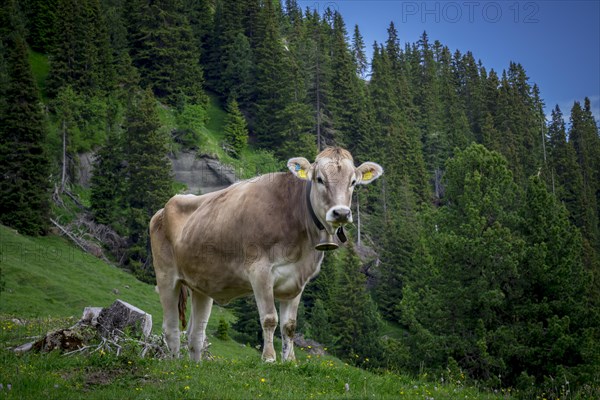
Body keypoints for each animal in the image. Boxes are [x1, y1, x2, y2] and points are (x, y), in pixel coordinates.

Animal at [150, 147, 384, 362]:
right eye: (319, 179)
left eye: (353, 182)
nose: (341, 213)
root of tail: (162, 209)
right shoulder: (259, 271)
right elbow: (270, 319)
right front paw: (269, 359)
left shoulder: (297, 280)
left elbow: (290, 326)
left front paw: (290, 362)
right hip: (166, 277)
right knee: (171, 329)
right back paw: (174, 364)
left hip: (201, 285)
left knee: (196, 334)